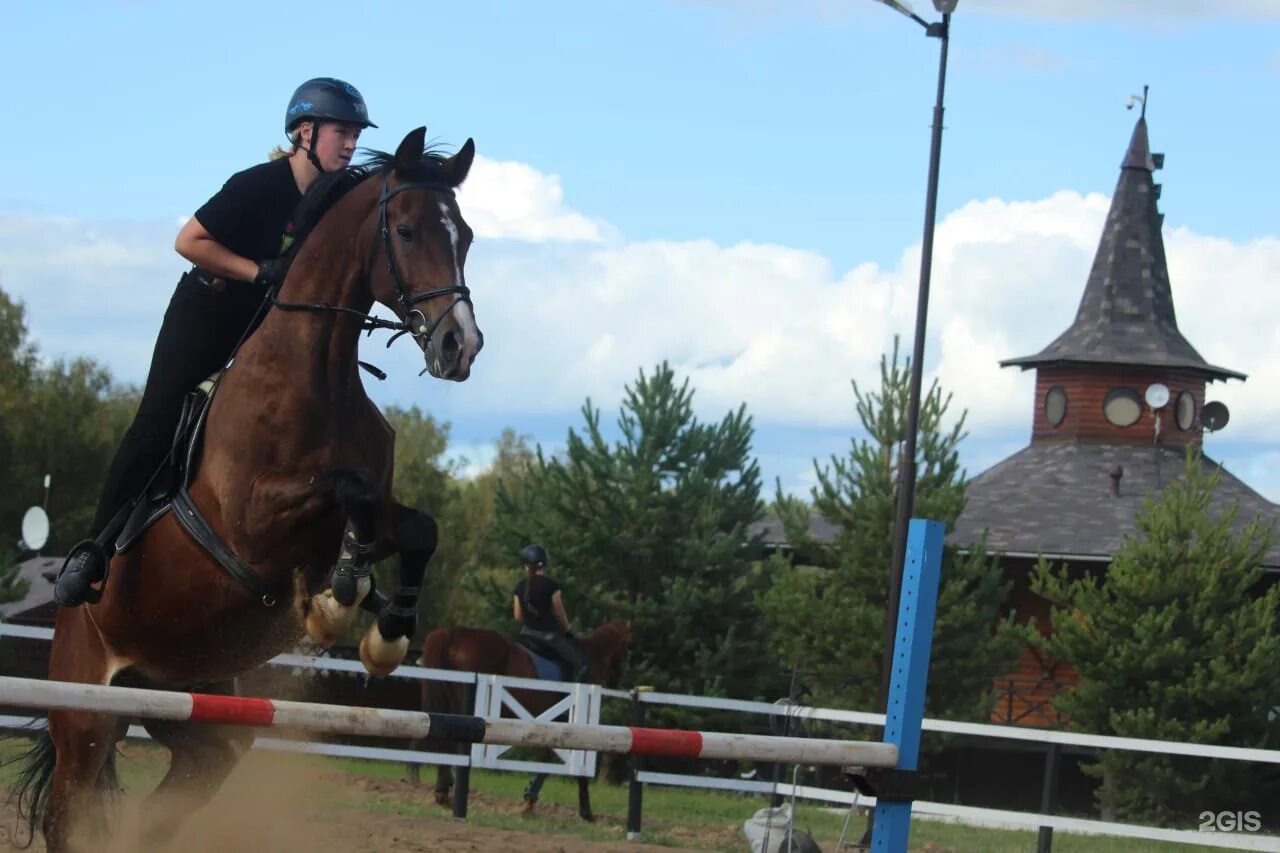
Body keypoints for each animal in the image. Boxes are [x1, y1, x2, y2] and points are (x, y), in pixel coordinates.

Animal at [5, 126, 481, 850]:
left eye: (467, 236)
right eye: (404, 230)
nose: (461, 345)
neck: (318, 372)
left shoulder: (370, 515)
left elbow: (415, 526)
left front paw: (385, 628)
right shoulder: (252, 523)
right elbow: (349, 491)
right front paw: (339, 598)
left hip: (198, 714)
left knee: (172, 798)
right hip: (86, 712)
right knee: (70, 809)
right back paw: (83, 570)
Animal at [417, 617, 632, 819]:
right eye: (626, 646)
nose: (617, 678)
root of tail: (453, 634)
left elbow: (545, 758)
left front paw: (529, 801)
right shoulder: (575, 724)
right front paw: (585, 811)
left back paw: (443, 792)